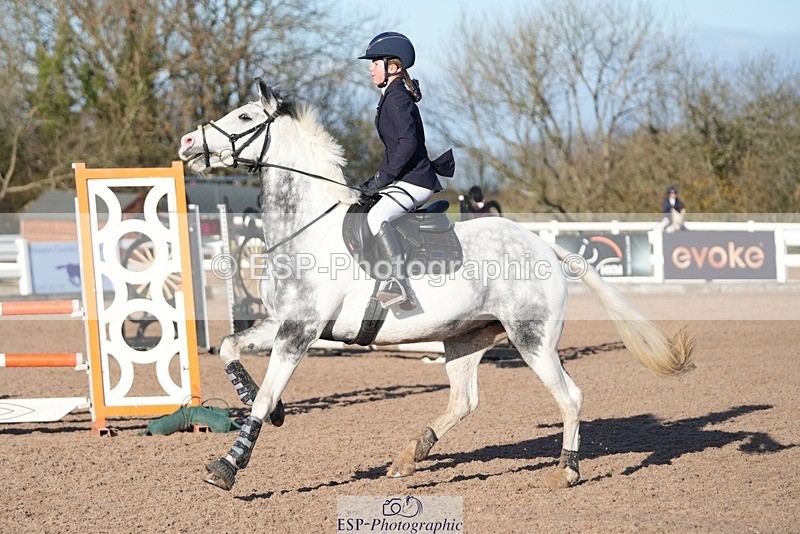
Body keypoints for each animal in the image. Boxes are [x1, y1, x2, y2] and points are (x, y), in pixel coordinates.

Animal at [178, 78, 695, 491]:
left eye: (245, 116)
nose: (186, 143)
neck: (309, 227)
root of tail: (544, 246)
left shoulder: (300, 331)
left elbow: (266, 393)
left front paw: (228, 465)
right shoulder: (281, 324)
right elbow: (229, 347)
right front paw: (264, 406)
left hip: (533, 340)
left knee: (569, 396)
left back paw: (567, 470)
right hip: (465, 338)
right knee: (464, 400)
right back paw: (409, 456)